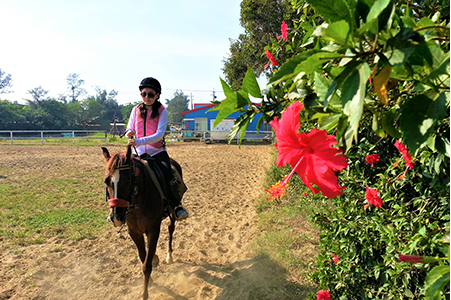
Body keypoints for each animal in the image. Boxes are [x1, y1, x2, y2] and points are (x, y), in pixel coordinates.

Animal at [101, 145, 181, 300]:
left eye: (127, 180)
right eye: (106, 181)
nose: (116, 217)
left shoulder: (153, 230)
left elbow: (146, 265)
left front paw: (145, 293)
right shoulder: (134, 232)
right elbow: (143, 257)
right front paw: (151, 278)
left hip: (172, 212)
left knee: (170, 228)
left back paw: (169, 255)